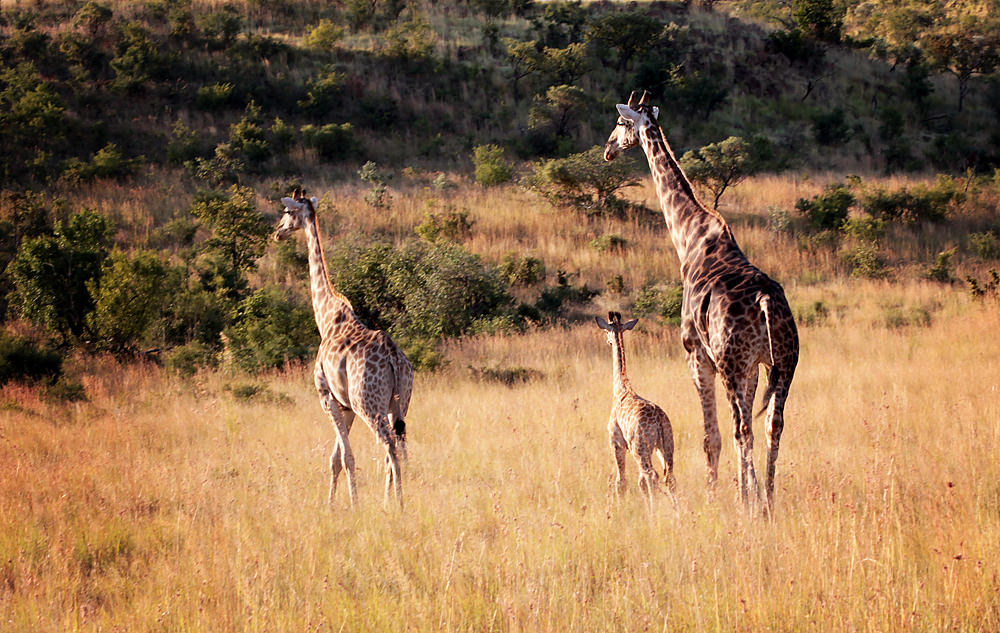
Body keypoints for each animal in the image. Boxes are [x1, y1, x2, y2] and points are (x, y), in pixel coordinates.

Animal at [273, 190, 413, 508]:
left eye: (286, 212)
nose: (277, 232)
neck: (325, 318)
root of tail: (394, 358)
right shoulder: (345, 405)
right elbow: (336, 458)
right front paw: (331, 505)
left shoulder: (327, 397)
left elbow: (346, 457)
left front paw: (353, 504)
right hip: (399, 403)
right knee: (399, 447)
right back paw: (391, 502)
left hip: (369, 405)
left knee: (389, 447)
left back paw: (398, 505)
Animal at [597, 311, 676, 509]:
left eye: (606, 331)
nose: (607, 341)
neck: (621, 389)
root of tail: (659, 420)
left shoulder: (616, 443)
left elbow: (621, 481)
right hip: (665, 445)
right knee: (668, 477)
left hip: (639, 448)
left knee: (651, 475)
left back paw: (654, 512)